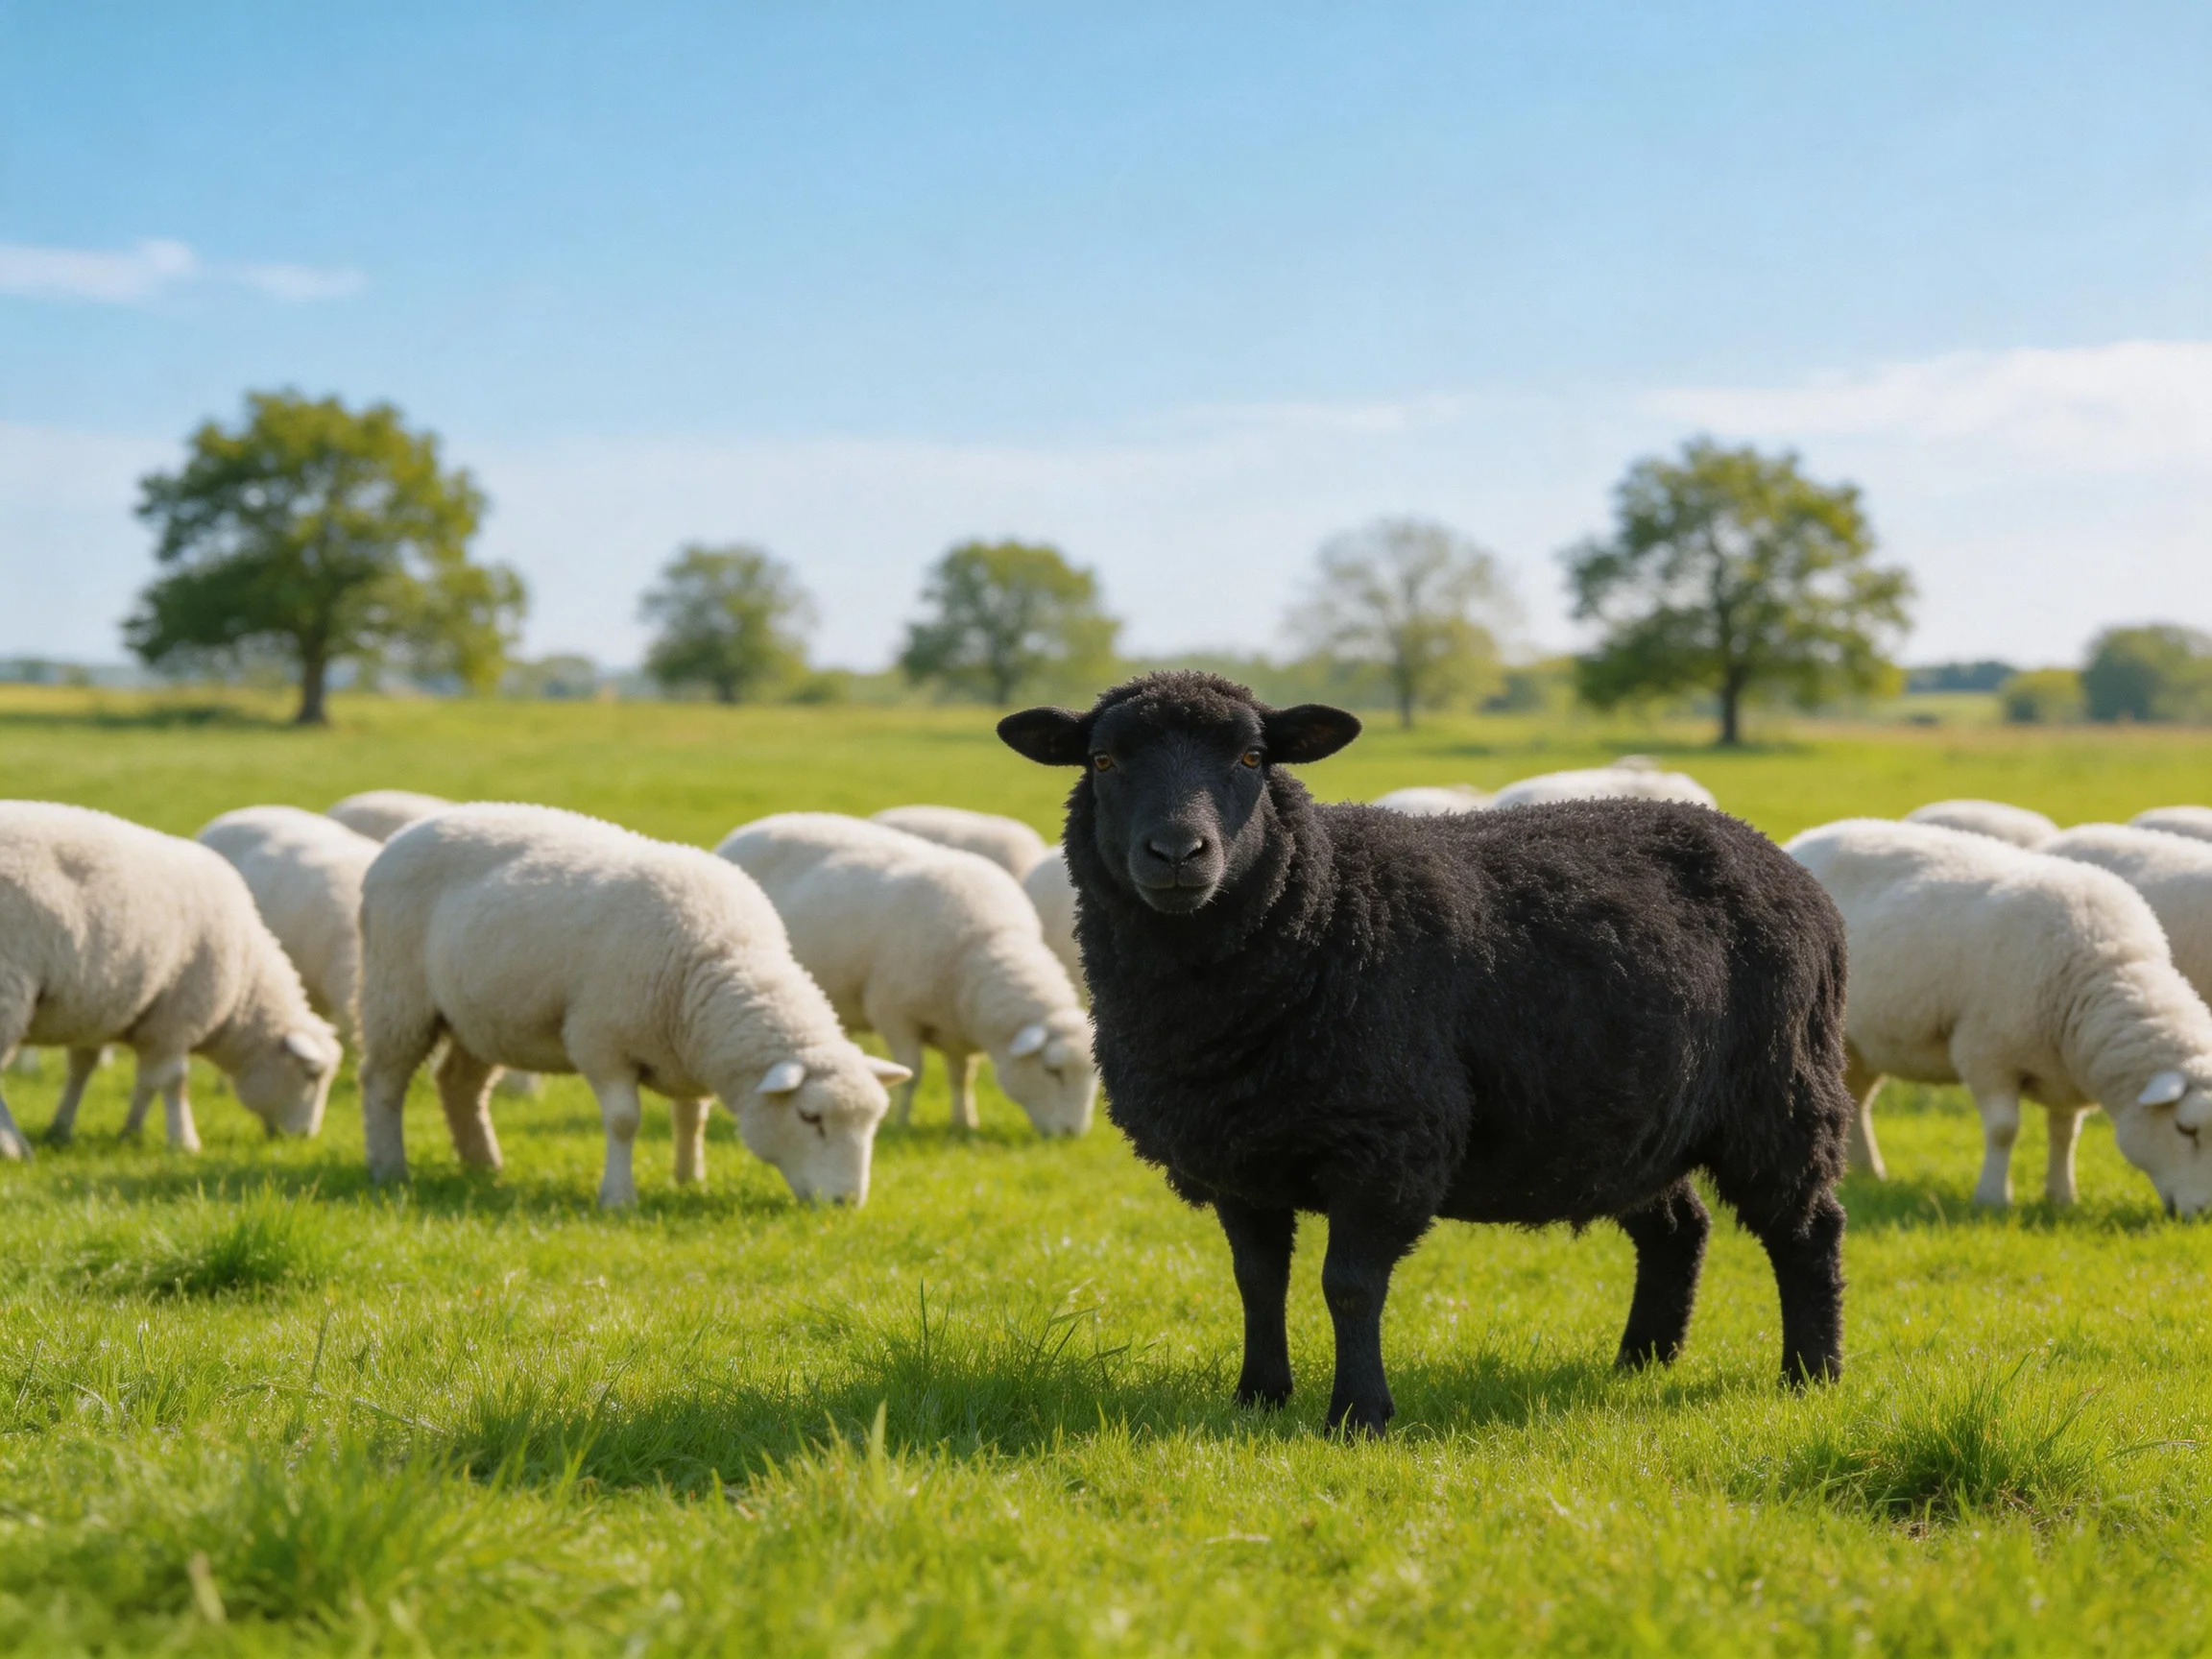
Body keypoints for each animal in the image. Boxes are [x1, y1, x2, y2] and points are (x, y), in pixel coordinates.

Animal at [0, 801, 341, 1157]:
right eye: (311, 1074)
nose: (304, 1138)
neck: (242, 990)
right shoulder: (176, 1018)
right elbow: (174, 1082)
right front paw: (184, 1141)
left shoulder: (99, 1013)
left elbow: (103, 1074)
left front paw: (100, 1129)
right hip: (9, 987)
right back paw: (13, 1147)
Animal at [357, 804, 910, 1207]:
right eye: (810, 1118)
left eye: (872, 1124)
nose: (846, 1203)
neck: (720, 958)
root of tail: (411, 831)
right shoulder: (601, 1042)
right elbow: (625, 1122)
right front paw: (619, 1198)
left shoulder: (687, 1049)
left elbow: (691, 1117)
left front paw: (690, 1178)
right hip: (396, 996)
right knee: (383, 1083)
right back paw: (389, 1169)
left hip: (483, 1016)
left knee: (458, 1084)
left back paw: (484, 1165)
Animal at [717, 813, 1095, 1137]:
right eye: (1053, 1070)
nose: (1071, 1134)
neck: (980, 951)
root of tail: (746, 831)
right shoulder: (893, 1014)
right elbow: (912, 1073)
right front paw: (901, 1122)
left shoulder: (957, 1028)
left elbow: (961, 1077)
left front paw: (964, 1122)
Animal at [999, 672, 1851, 1436]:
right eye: (1103, 760)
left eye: (1251, 757)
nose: (1178, 851)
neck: (1323, 909)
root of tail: (1779, 860)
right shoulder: (1234, 1149)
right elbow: (1257, 1281)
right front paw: (1259, 1396)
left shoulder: (1387, 1141)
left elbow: (1348, 1286)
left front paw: (1358, 1415)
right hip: (1635, 1121)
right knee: (1679, 1228)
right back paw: (1640, 1360)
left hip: (1779, 1095)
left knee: (1808, 1230)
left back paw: (1810, 1375)